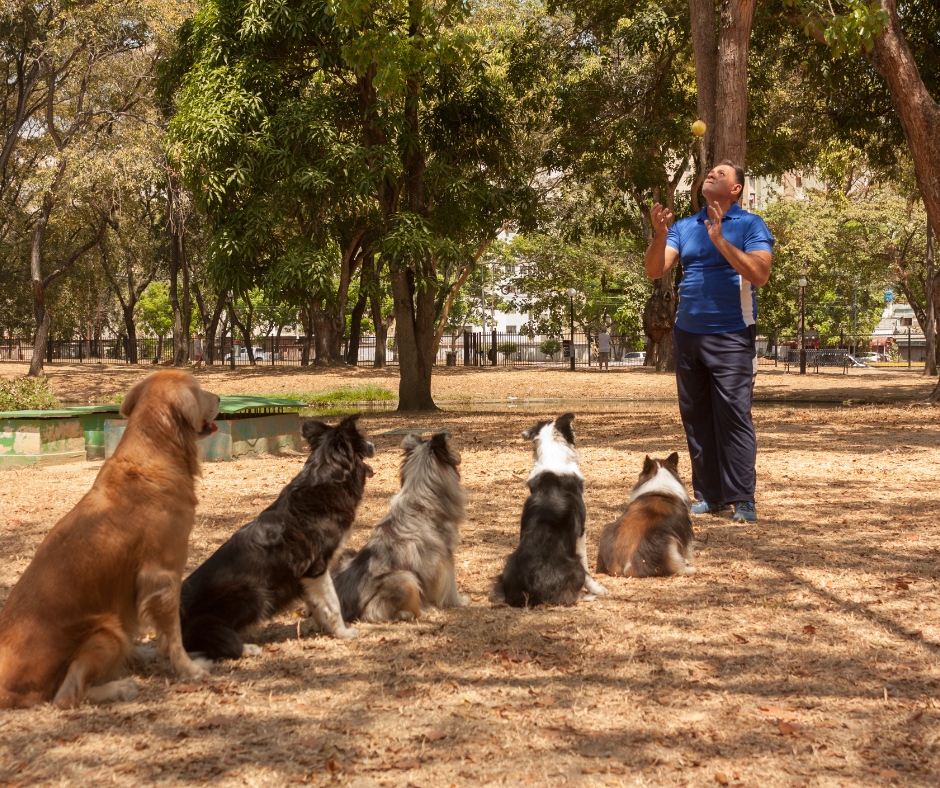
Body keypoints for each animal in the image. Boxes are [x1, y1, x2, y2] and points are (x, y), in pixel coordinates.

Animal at [0, 370, 220, 708]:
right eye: (199, 389)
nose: (220, 398)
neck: (156, 450)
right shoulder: (163, 573)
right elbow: (173, 633)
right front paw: (189, 669)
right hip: (106, 630)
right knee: (66, 696)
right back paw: (121, 687)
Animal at [180, 416, 374, 660]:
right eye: (362, 440)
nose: (374, 445)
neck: (327, 478)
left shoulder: (304, 575)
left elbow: (315, 603)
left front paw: (325, 628)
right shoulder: (317, 567)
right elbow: (333, 602)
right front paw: (343, 632)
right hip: (255, 594)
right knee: (205, 634)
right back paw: (245, 648)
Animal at [330, 430, 470, 620]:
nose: (459, 455)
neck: (421, 498)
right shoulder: (446, 556)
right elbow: (450, 585)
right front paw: (459, 601)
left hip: (347, 555)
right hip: (405, 578)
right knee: (375, 612)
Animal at [492, 416, 608, 608]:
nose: (576, 429)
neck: (553, 460)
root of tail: (532, 592)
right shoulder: (581, 533)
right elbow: (587, 568)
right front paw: (596, 589)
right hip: (575, 567)